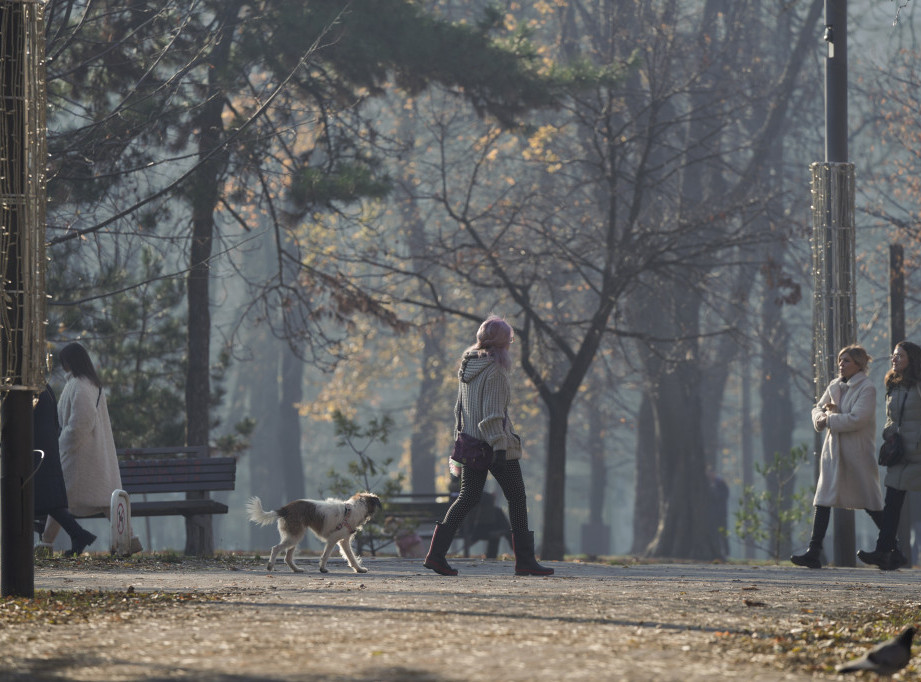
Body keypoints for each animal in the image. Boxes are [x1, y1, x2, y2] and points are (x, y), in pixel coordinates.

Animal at [244, 492, 380, 572]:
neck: (353, 509)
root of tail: (285, 509)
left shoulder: (344, 541)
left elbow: (351, 556)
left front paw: (358, 569)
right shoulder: (333, 540)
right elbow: (326, 555)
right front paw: (322, 568)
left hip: (294, 536)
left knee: (287, 557)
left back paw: (296, 569)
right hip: (294, 536)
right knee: (275, 548)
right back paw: (270, 565)